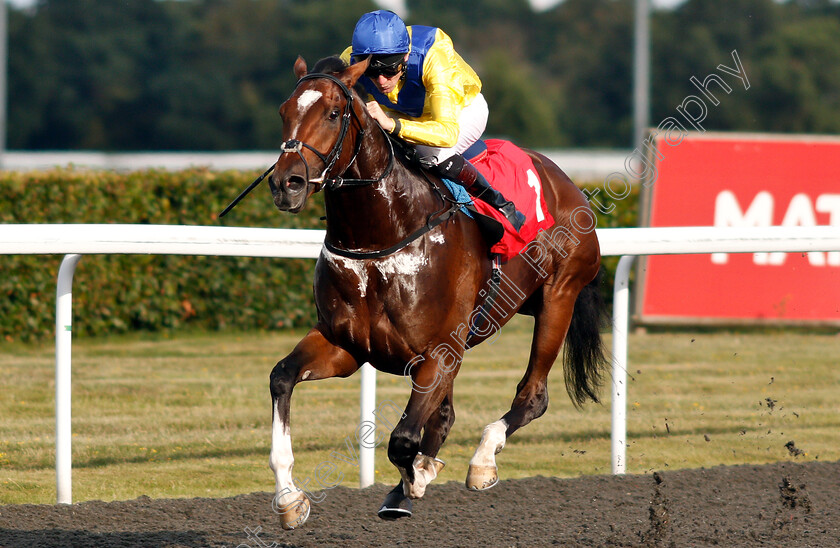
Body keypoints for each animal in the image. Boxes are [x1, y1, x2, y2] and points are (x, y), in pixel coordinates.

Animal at [260, 54, 604, 528]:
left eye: (332, 113)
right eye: (283, 111)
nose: (286, 183)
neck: (380, 235)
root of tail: (565, 180)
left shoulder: (437, 351)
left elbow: (402, 438)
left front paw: (414, 481)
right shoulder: (345, 346)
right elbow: (282, 376)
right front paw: (290, 498)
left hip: (559, 297)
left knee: (533, 396)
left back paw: (482, 460)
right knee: (445, 415)